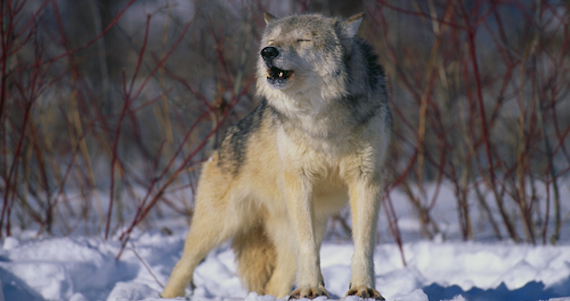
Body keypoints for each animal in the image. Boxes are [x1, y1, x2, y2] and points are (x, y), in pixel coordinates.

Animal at [162, 11, 388, 298]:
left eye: (303, 40)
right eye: (272, 41)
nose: (266, 52)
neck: (322, 119)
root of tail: (220, 145)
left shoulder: (365, 179)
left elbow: (364, 244)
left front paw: (362, 288)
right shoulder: (298, 181)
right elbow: (307, 247)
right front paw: (311, 288)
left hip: (306, 226)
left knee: (274, 283)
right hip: (217, 225)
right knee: (182, 265)